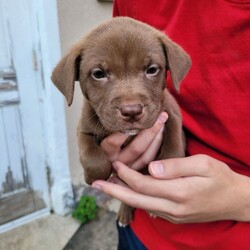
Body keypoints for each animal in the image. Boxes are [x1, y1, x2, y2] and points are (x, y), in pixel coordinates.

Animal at [50, 17, 191, 225]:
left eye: (151, 70)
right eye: (98, 74)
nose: (131, 111)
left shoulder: (171, 112)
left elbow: (173, 148)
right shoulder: (83, 129)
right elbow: (92, 158)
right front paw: (91, 177)